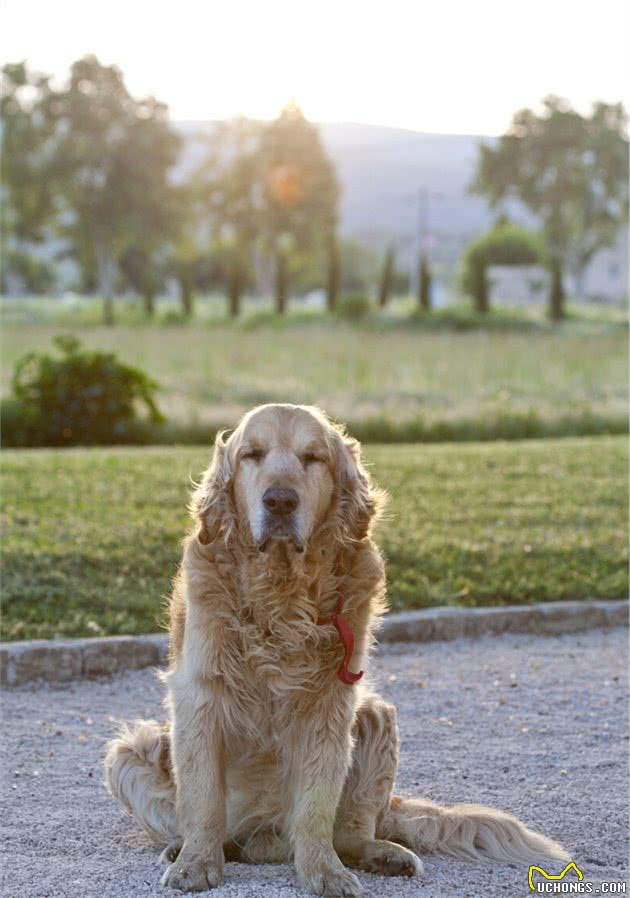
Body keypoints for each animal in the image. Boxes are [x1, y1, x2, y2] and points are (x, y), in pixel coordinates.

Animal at [106, 402, 572, 892]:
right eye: (252, 454)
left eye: (313, 458)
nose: (280, 501)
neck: (282, 595)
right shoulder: (200, 696)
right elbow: (201, 799)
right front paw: (196, 862)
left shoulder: (331, 704)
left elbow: (315, 808)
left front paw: (323, 872)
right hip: (129, 751)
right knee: (221, 829)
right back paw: (194, 847)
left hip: (375, 715)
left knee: (346, 832)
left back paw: (380, 854)